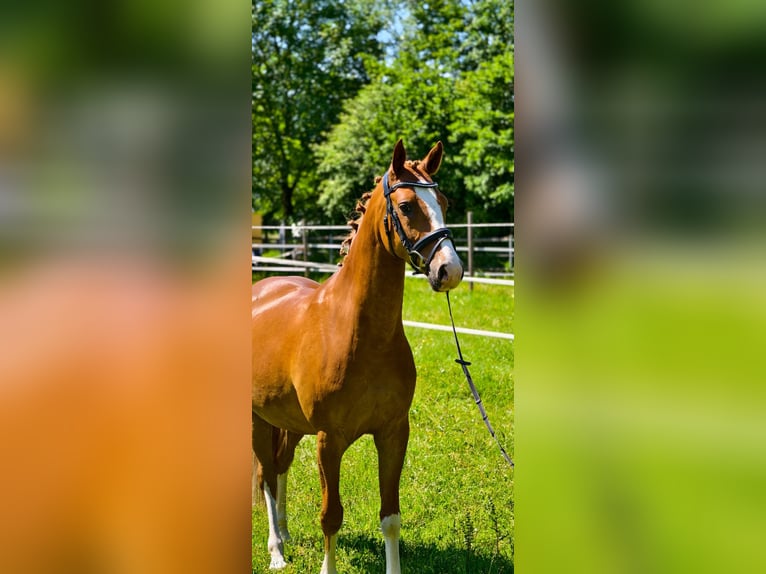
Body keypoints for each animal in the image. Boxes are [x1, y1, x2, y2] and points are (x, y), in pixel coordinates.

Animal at [252, 139, 464, 573]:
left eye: (445, 202)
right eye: (407, 207)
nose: (449, 270)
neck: (359, 332)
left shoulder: (393, 432)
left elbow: (391, 518)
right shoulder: (329, 440)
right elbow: (330, 515)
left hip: (288, 422)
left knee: (279, 468)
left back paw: (285, 533)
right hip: (258, 419)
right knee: (265, 473)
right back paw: (276, 550)